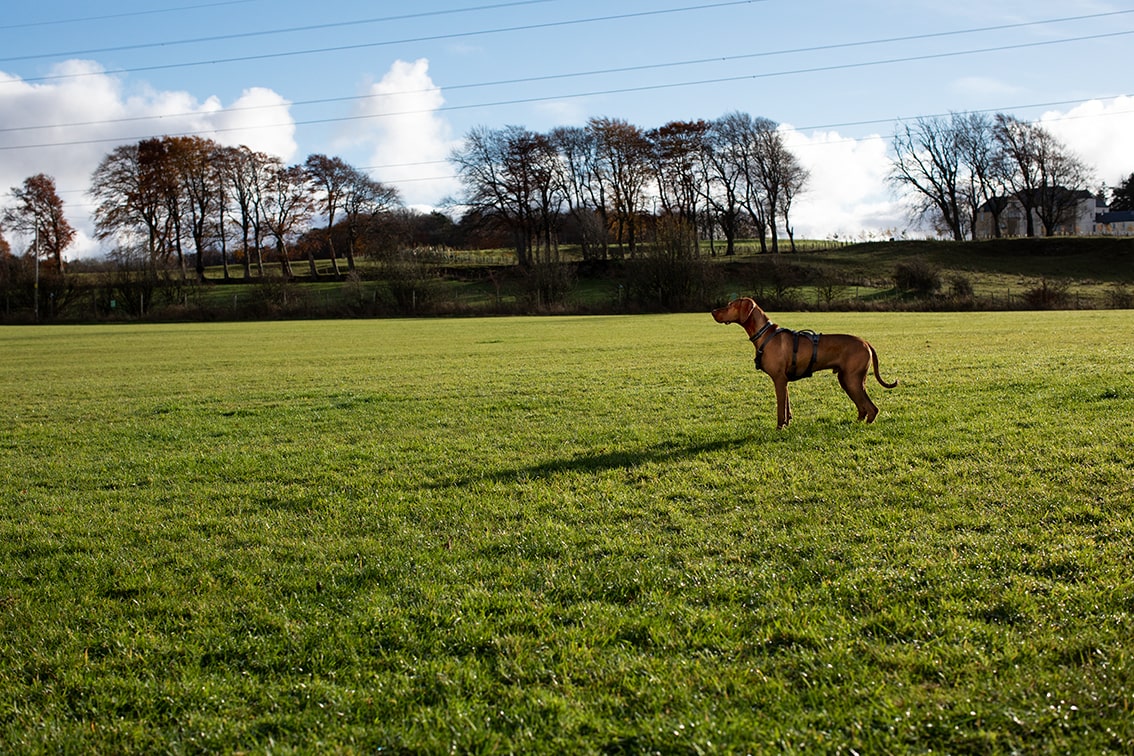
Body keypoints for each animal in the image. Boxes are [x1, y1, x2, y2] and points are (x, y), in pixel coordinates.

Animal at [712, 294, 898, 428]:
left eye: (730, 305)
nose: (712, 311)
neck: (764, 334)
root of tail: (866, 342)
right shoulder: (784, 381)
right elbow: (787, 407)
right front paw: (788, 423)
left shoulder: (779, 380)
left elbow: (780, 409)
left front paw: (779, 428)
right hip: (847, 380)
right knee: (862, 408)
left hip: (852, 379)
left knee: (872, 409)